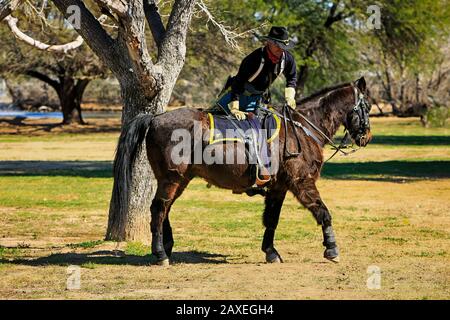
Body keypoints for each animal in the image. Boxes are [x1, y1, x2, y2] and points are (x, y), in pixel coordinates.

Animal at [111, 77, 372, 264]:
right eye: (367, 106)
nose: (367, 137)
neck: (301, 129)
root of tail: (156, 117)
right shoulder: (302, 182)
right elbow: (323, 212)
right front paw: (332, 248)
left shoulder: (279, 187)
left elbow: (272, 219)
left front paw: (270, 251)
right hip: (171, 178)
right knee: (158, 209)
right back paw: (160, 254)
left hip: (178, 180)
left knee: (165, 209)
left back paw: (167, 246)